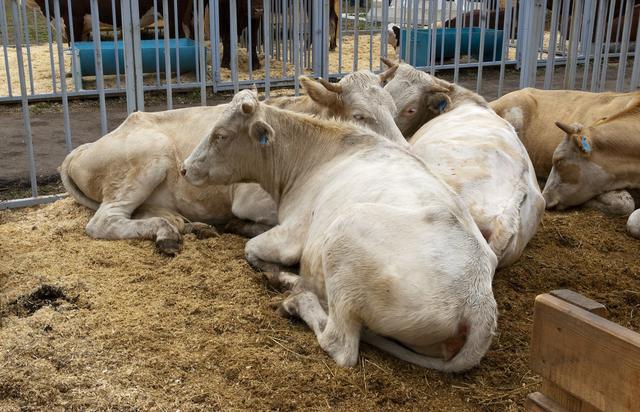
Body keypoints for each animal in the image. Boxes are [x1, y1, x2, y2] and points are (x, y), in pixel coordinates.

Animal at [181, 90, 500, 374]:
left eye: (221, 135)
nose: (184, 168)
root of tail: (479, 301)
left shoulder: (290, 236)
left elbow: (251, 250)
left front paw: (282, 274)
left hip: (344, 237)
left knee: (339, 343)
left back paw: (296, 297)